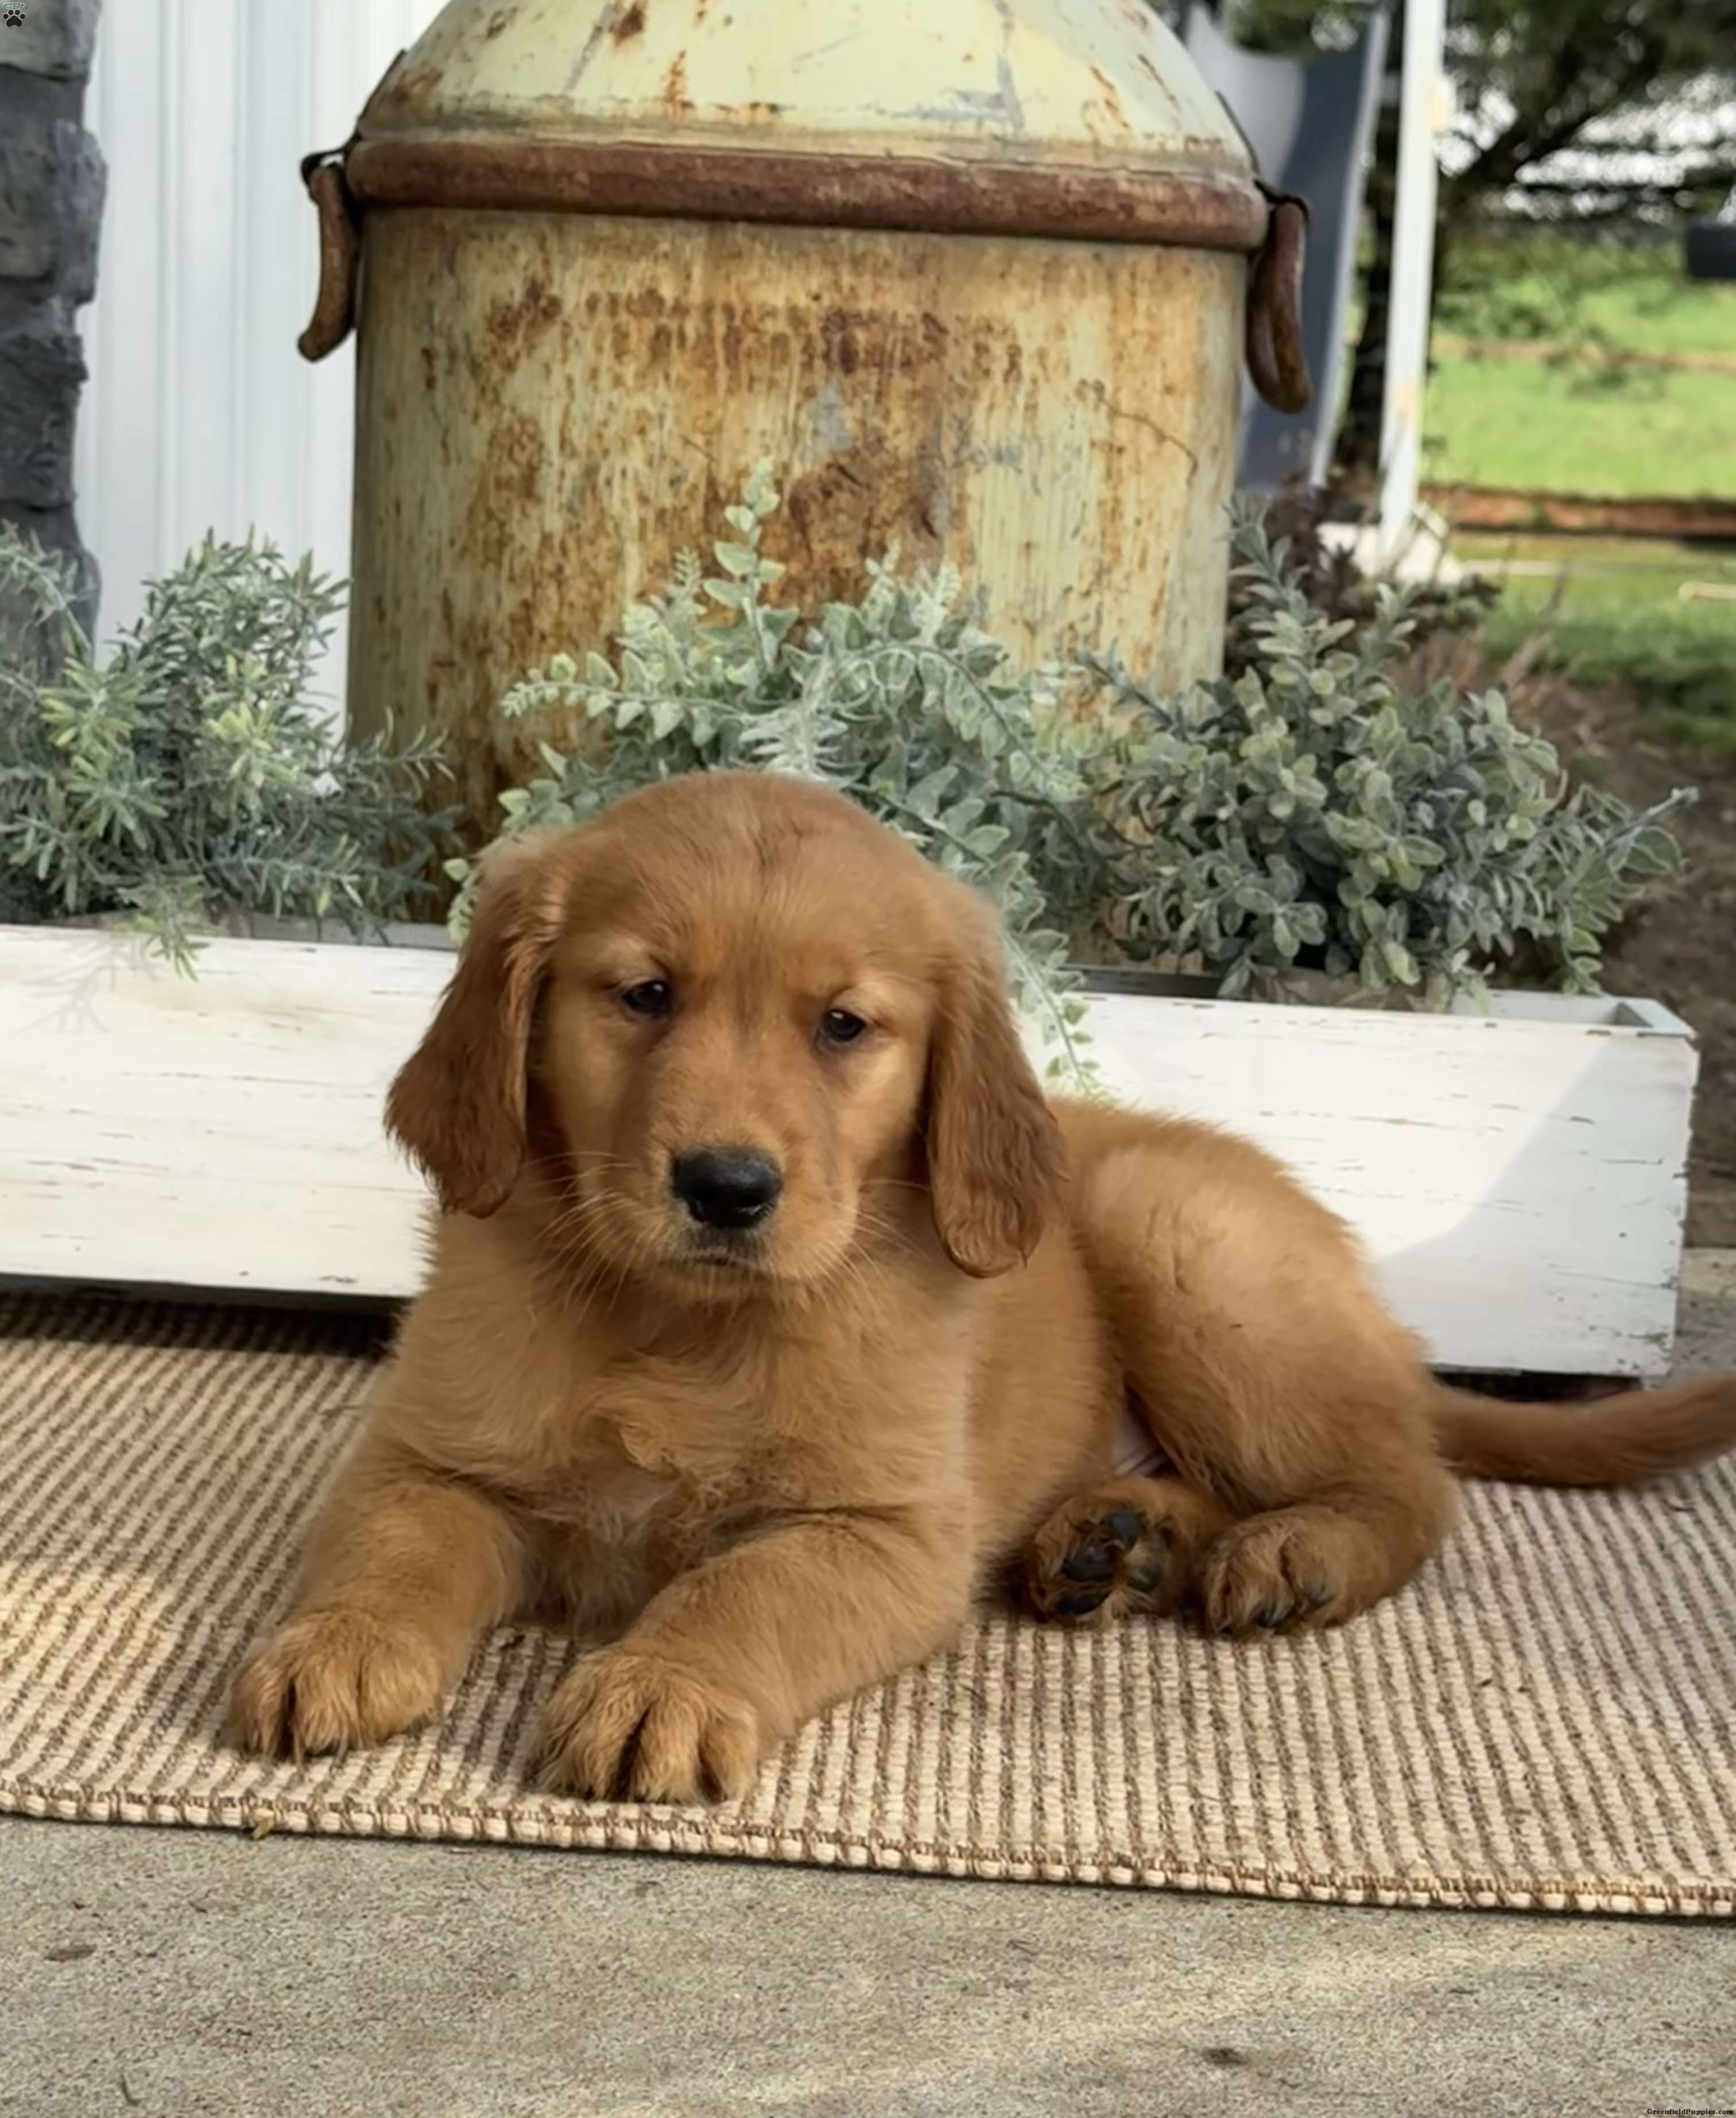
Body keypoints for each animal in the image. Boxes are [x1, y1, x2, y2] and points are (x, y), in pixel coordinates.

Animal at [229, 770, 1736, 1802]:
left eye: (844, 1026)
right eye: (643, 995)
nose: (728, 1186)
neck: (683, 1327)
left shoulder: (885, 1533)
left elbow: (739, 1591)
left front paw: (660, 1686)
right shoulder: (427, 1458)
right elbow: (397, 1544)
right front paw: (335, 1642)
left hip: (1174, 1233)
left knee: (1411, 1482)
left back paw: (1289, 1550)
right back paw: (1113, 1541)